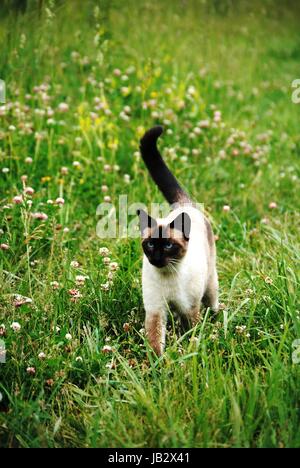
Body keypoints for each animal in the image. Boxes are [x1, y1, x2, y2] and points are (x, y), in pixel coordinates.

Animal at [138, 125, 218, 354]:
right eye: (150, 244)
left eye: (168, 245)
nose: (156, 258)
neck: (168, 277)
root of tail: (185, 205)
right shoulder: (156, 310)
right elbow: (155, 343)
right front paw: (158, 363)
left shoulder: (189, 310)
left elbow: (190, 335)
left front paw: (188, 355)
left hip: (211, 284)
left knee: (213, 302)